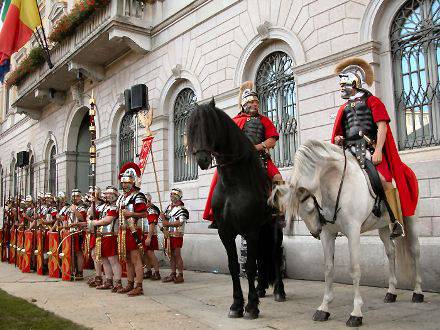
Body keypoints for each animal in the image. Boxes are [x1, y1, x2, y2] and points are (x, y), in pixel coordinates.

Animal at [186, 98, 286, 320]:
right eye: (191, 128)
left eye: (210, 125)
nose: (202, 160)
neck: (234, 183)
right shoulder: (226, 231)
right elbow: (234, 266)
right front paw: (236, 304)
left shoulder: (250, 230)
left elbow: (248, 266)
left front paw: (251, 307)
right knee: (262, 258)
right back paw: (260, 289)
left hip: (273, 228)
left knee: (274, 254)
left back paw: (279, 292)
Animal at [270, 139, 424, 328]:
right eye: (299, 213)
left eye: (310, 207)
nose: (315, 231)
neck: (334, 184)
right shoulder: (327, 235)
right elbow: (328, 268)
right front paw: (324, 307)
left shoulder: (353, 231)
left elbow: (354, 268)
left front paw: (356, 312)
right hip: (383, 227)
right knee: (391, 252)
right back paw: (391, 292)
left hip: (411, 219)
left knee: (415, 251)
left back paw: (417, 292)